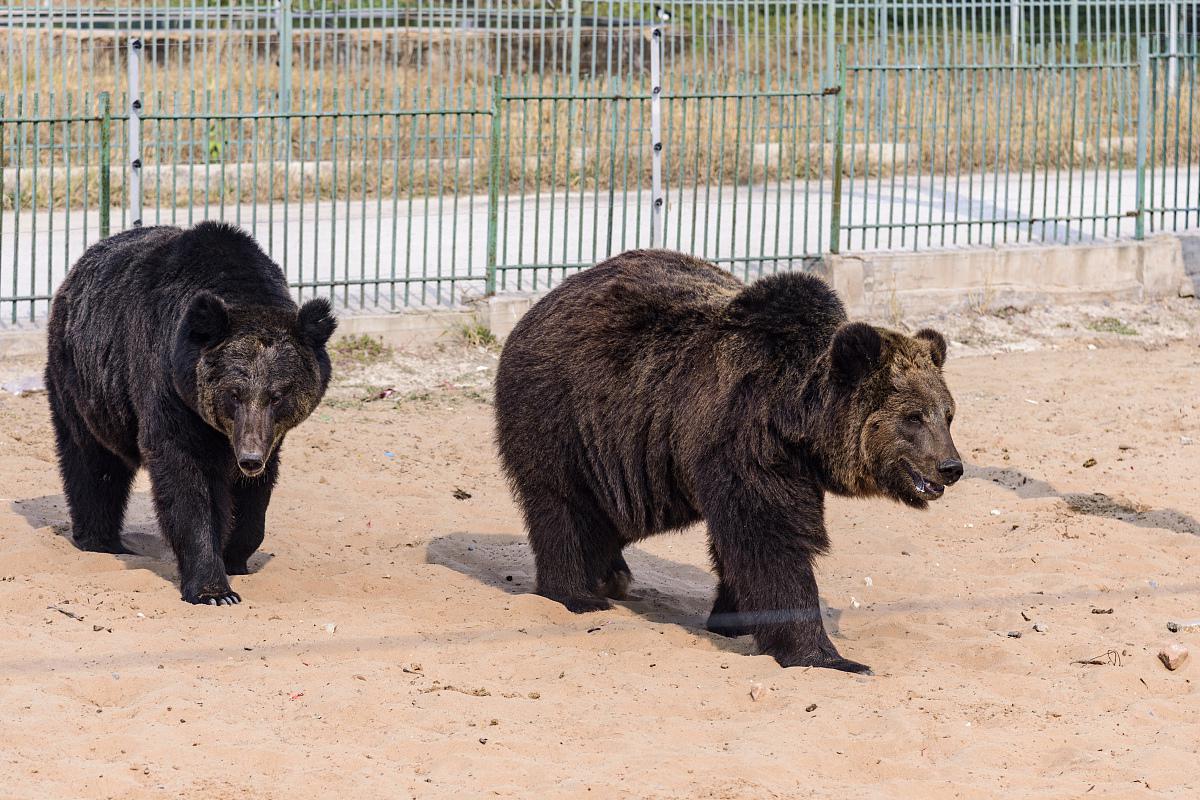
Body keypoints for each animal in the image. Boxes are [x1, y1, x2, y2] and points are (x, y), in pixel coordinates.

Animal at [492, 250, 960, 676]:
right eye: (913, 417)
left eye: (948, 414)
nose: (950, 466)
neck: (796, 419)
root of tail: (545, 301)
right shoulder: (744, 441)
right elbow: (771, 541)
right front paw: (828, 656)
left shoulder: (781, 465)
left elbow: (746, 543)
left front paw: (734, 618)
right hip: (565, 418)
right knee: (563, 507)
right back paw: (577, 594)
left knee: (610, 513)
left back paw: (611, 574)